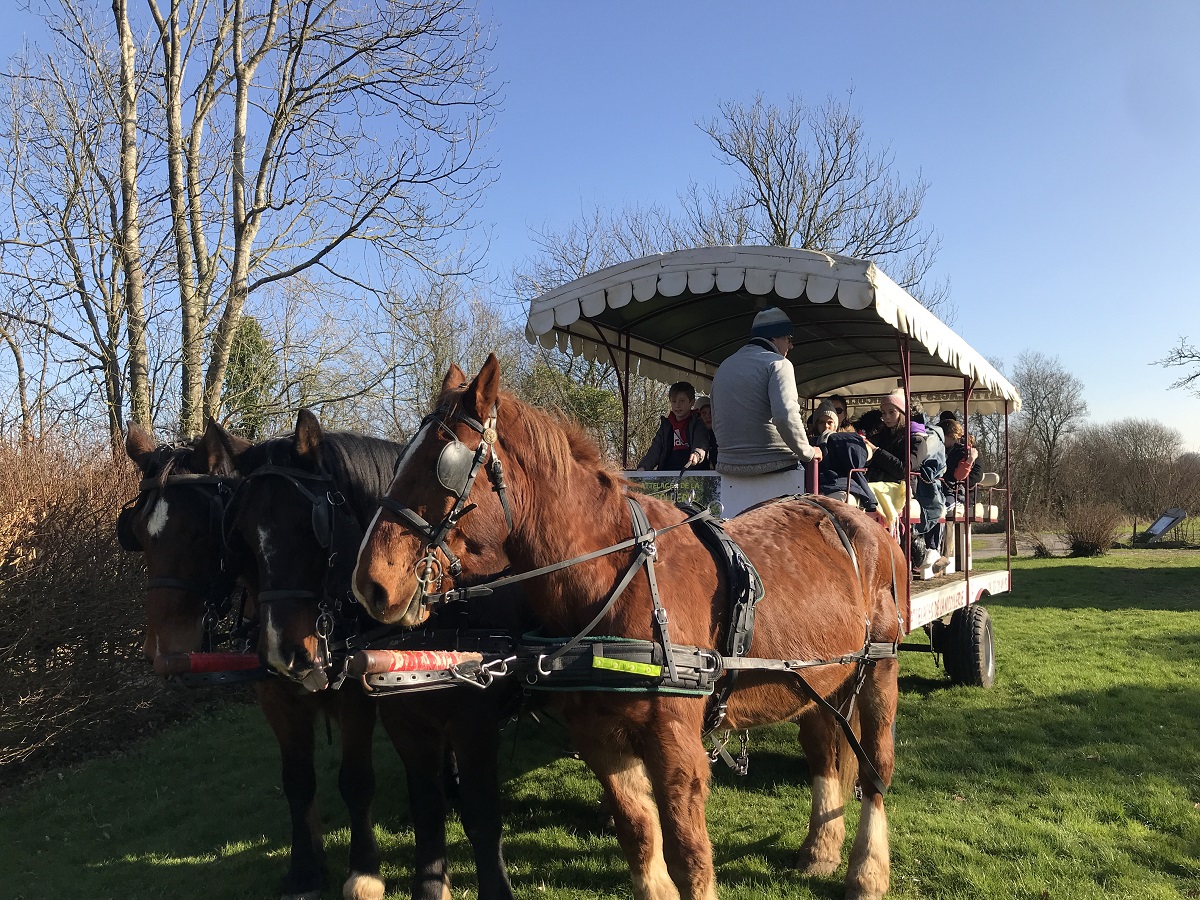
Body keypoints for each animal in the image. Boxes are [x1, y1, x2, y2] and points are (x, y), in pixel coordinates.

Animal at [123, 421, 388, 900]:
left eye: (202, 530)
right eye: (136, 532)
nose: (160, 651)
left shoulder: (357, 693)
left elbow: (356, 780)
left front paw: (364, 871)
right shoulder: (276, 696)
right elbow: (297, 782)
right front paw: (305, 871)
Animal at [352, 356, 907, 900]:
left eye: (444, 466)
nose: (370, 583)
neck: (616, 578)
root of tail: (859, 519)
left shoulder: (675, 744)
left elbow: (688, 855)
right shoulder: (602, 738)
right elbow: (639, 835)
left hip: (879, 669)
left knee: (877, 770)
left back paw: (867, 873)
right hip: (818, 681)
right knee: (824, 752)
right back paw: (820, 850)